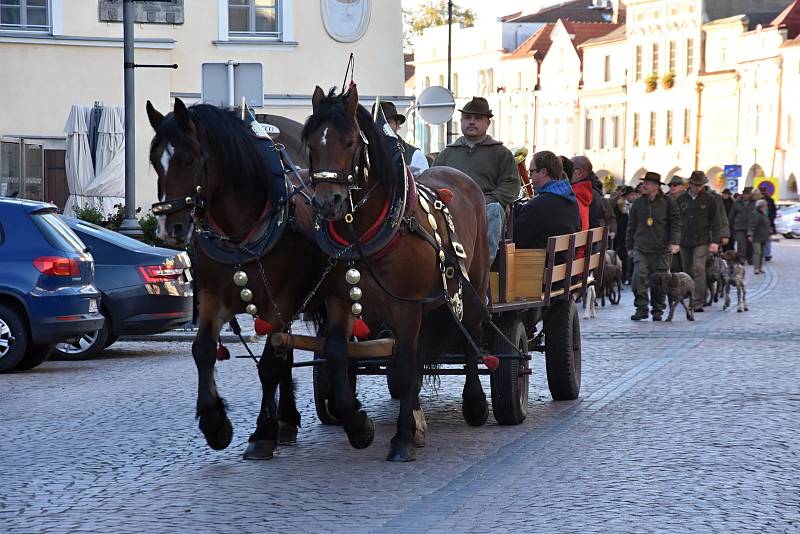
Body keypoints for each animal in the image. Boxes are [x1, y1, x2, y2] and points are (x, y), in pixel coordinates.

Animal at [147, 99, 324, 460]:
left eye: (188, 158)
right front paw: (215, 423)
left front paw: (262, 433)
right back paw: (286, 419)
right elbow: (202, 350)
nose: (169, 229)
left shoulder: (281, 300)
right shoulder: (214, 296)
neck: (240, 233)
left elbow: (269, 365)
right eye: (156, 161)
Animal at [300, 86, 488, 462]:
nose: (328, 203)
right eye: (311, 142)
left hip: (472, 287)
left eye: (349, 142)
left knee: (470, 338)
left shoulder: (408, 306)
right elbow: (339, 354)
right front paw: (359, 426)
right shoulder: (340, 303)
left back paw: (474, 403)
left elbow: (402, 366)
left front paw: (402, 438)